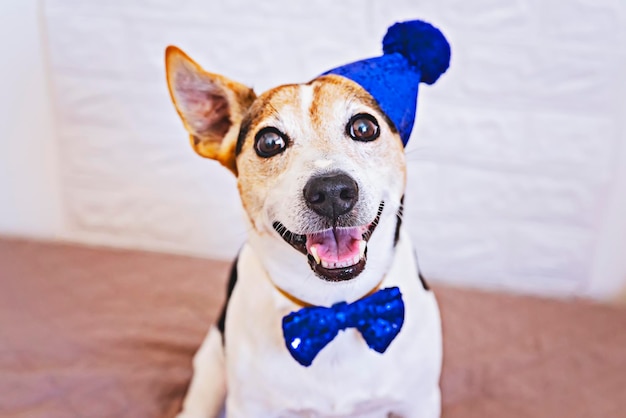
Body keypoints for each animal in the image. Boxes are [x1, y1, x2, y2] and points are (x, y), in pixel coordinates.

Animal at [166, 19, 446, 418]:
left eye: (364, 127)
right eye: (269, 142)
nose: (331, 191)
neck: (335, 308)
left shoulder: (420, 400)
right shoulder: (248, 405)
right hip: (210, 368)